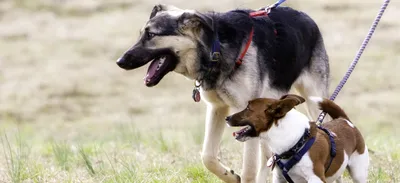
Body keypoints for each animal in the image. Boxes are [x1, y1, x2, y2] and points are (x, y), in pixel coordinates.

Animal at [117, 4, 330, 183]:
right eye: (141, 34)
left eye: (151, 35)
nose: (120, 61)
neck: (215, 49)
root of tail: (306, 17)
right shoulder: (217, 109)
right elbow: (207, 157)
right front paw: (230, 176)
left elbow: (249, 171)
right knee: (267, 156)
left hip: (314, 102)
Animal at [227, 95, 370, 182]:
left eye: (248, 108)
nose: (227, 118)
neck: (296, 145)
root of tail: (345, 120)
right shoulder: (279, 178)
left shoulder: (316, 179)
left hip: (358, 173)